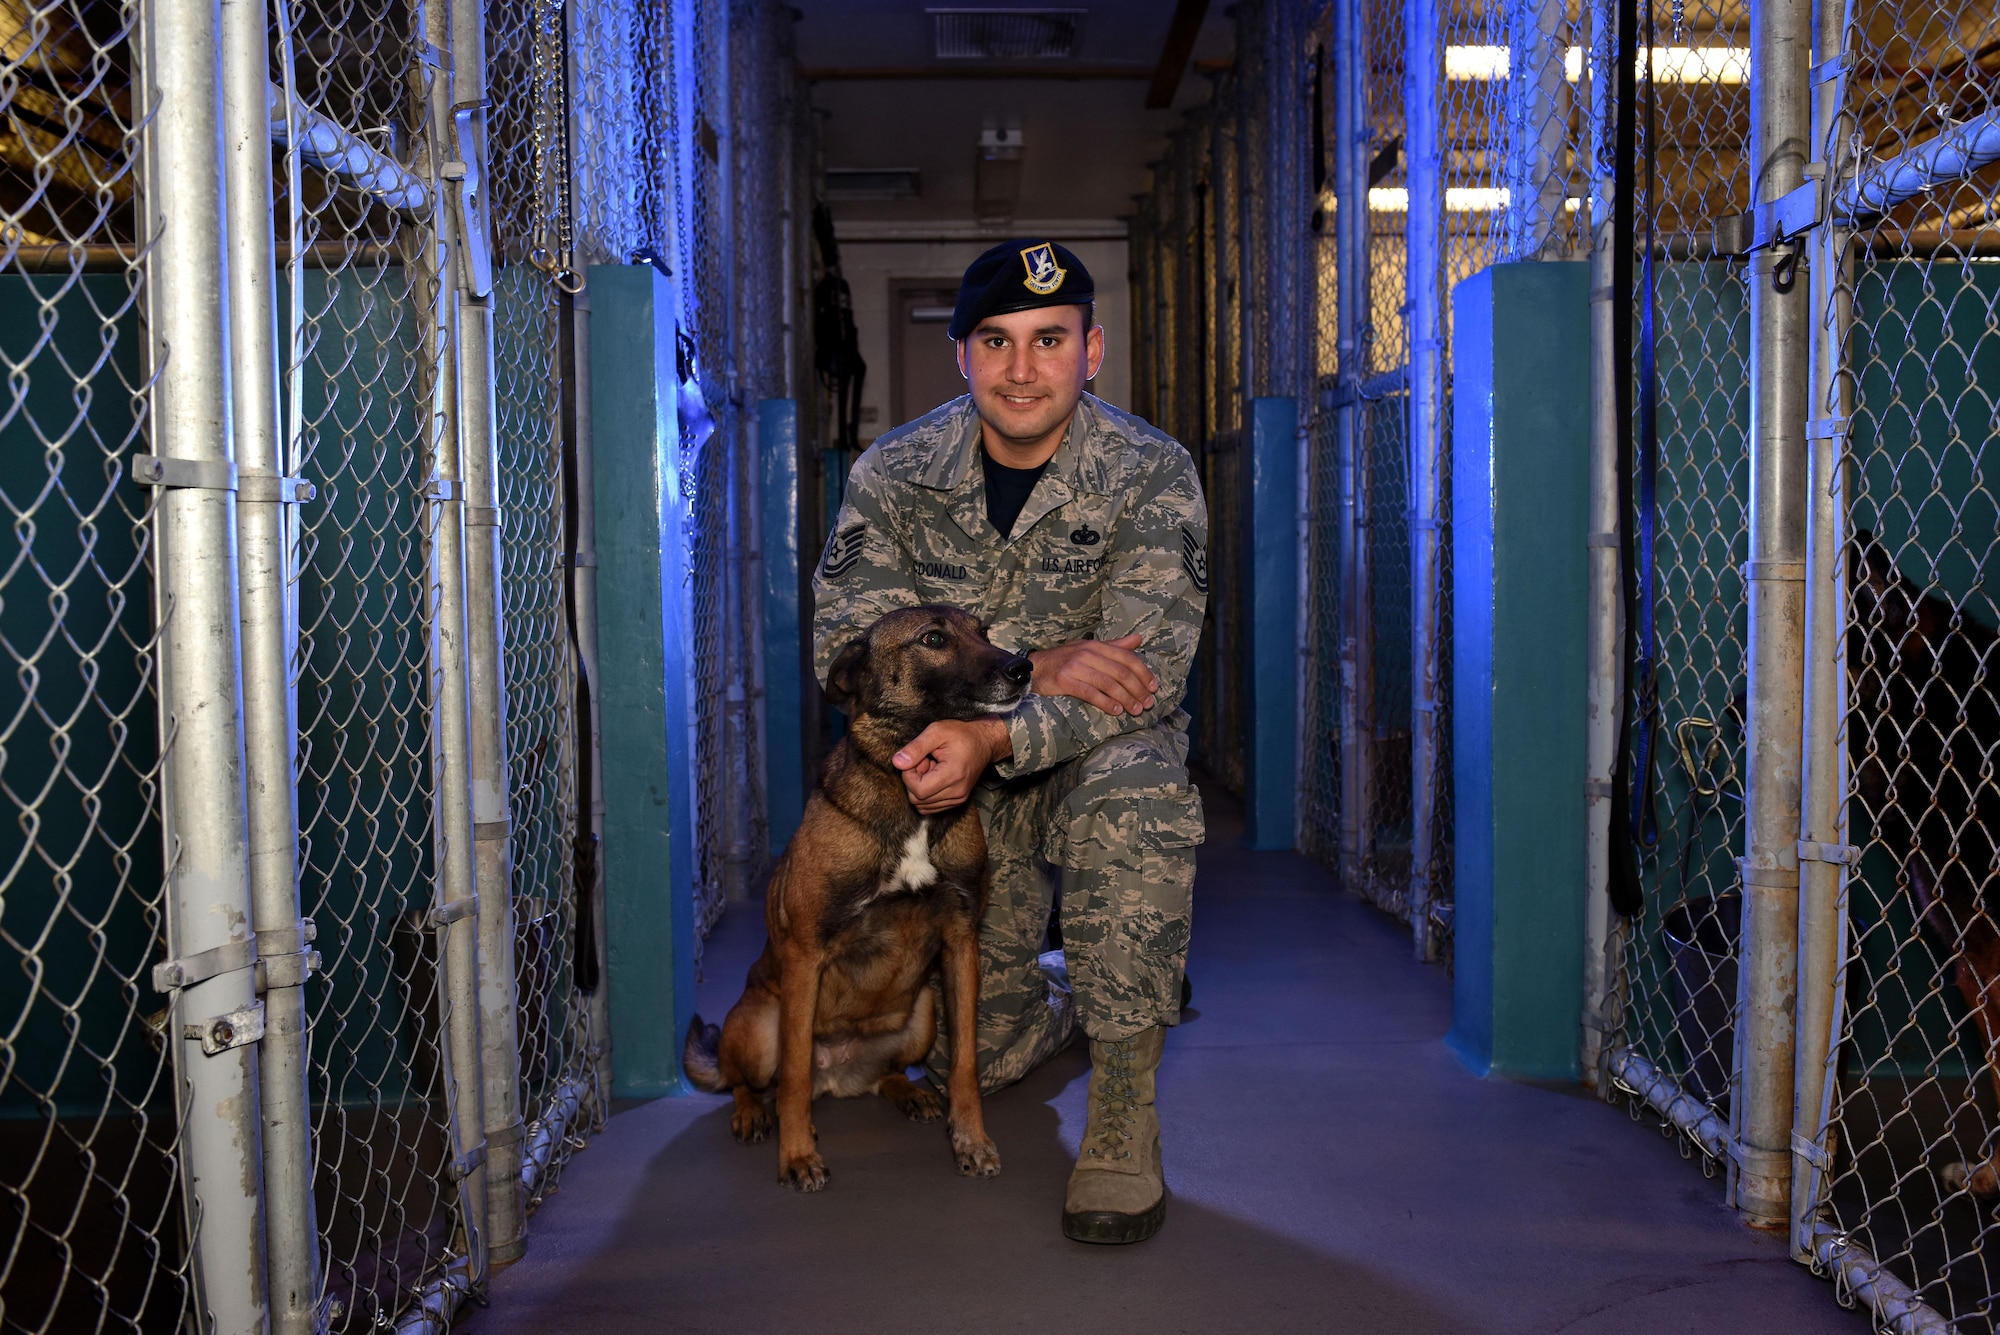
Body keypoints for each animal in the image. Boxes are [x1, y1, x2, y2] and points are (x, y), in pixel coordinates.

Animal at [684, 603, 1032, 1191]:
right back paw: (753, 1112)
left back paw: (910, 1092)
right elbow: (793, 1077)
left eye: (984, 633)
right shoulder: (806, 956)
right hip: (760, 1027)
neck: (909, 800)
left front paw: (971, 1140)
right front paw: (798, 1156)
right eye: (932, 639)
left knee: (884, 1075)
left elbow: (965, 1063)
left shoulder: (962, 943)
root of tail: (837, 1076)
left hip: (922, 1012)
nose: (1023, 668)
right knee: (751, 1080)